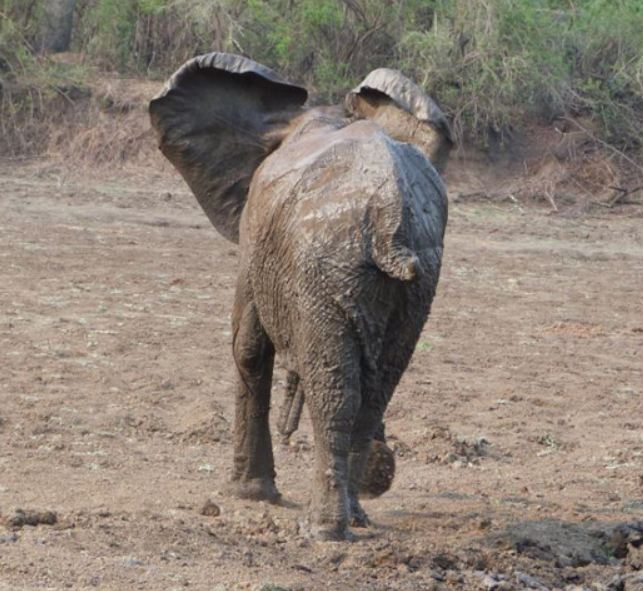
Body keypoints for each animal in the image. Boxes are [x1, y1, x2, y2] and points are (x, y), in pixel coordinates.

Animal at [151, 52, 452, 540]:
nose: (383, 475)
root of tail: (389, 213)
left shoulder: (255, 232)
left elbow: (248, 347)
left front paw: (250, 494)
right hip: (418, 284)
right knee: (377, 389)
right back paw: (355, 516)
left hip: (323, 271)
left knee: (334, 390)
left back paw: (322, 528)